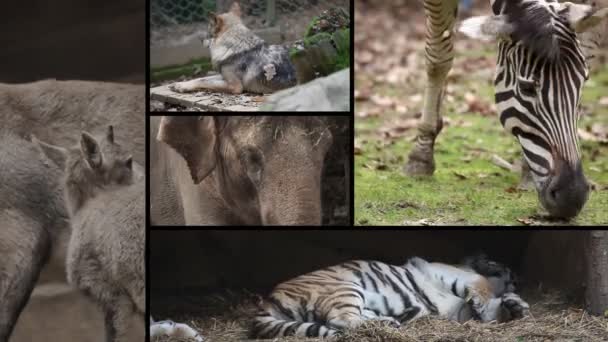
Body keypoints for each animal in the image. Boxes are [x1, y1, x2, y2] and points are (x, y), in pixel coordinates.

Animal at [249, 254, 528, 340]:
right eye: (509, 271)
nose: (517, 279)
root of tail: (268, 300)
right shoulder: (452, 274)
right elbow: (482, 284)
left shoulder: (459, 311)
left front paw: (515, 306)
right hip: (345, 288)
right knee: (342, 321)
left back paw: (389, 323)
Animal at [404, 0, 608, 218]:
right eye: (526, 88)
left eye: (584, 82)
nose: (572, 196)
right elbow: (438, 59)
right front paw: (421, 156)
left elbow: (587, 46)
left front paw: (528, 172)